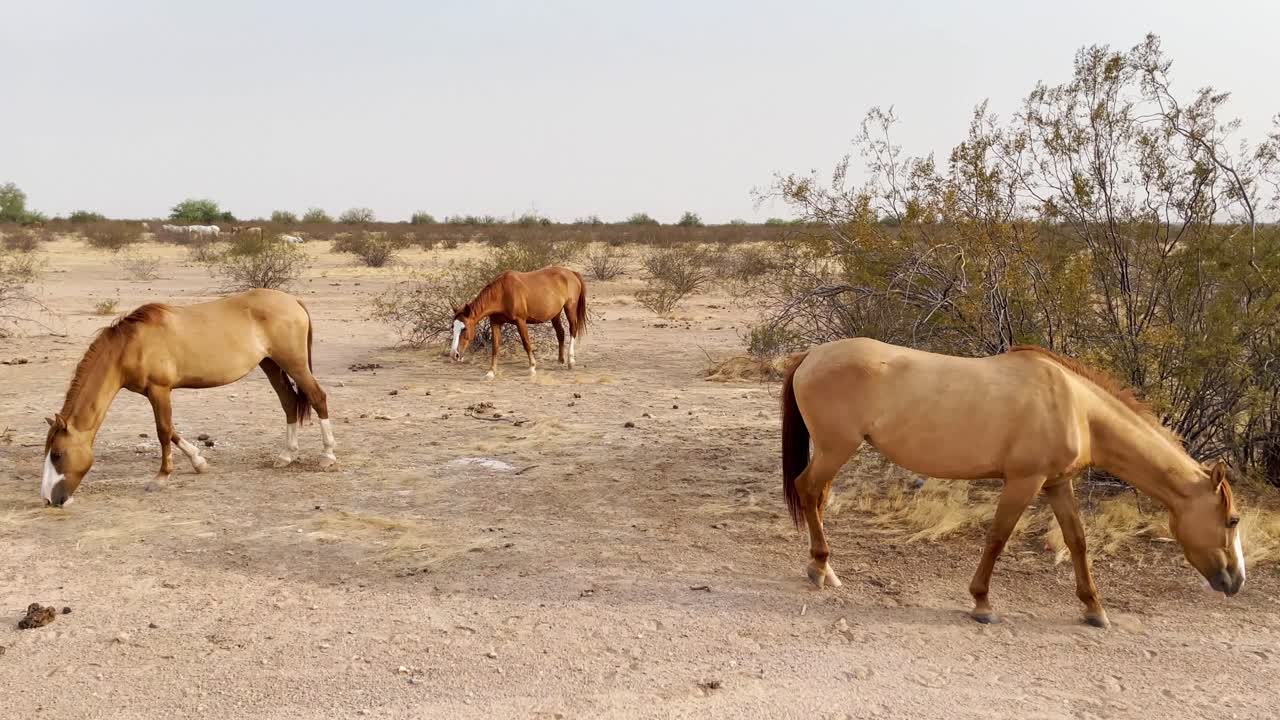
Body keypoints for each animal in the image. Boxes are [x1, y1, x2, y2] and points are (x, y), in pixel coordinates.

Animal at [41, 289, 337, 507]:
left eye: (57, 454)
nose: (48, 499)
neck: (130, 346)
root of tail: (293, 301)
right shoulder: (155, 393)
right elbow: (171, 430)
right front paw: (199, 462)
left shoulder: (160, 390)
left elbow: (163, 431)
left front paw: (160, 478)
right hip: (271, 364)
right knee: (289, 402)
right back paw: (286, 456)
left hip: (294, 363)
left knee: (318, 397)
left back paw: (327, 455)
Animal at [450, 266, 587, 380]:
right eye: (453, 327)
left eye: (464, 328)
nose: (454, 355)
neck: (502, 293)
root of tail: (571, 273)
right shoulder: (495, 323)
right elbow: (495, 347)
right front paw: (491, 372)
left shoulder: (520, 321)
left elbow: (526, 343)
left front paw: (532, 367)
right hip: (555, 314)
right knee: (560, 333)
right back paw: (560, 361)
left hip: (570, 308)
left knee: (572, 330)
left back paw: (570, 361)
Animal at [781, 338, 1245, 627]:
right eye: (1233, 520)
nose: (1236, 581)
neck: (1077, 407)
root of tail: (811, 355)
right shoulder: (1025, 481)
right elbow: (998, 538)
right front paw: (982, 603)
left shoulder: (1057, 484)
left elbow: (1077, 541)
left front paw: (1094, 609)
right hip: (835, 449)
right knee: (808, 490)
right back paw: (820, 569)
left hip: (834, 451)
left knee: (817, 496)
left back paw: (825, 569)